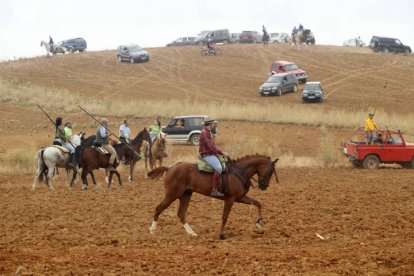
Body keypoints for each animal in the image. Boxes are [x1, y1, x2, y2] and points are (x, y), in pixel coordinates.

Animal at [146, 154, 278, 240]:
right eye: (271, 171)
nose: (264, 186)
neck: (239, 172)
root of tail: (170, 168)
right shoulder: (230, 199)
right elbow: (224, 217)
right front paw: (222, 235)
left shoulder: (240, 198)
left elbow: (257, 203)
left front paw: (259, 223)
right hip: (172, 195)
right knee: (159, 208)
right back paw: (152, 230)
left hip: (185, 195)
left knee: (181, 214)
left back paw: (192, 233)